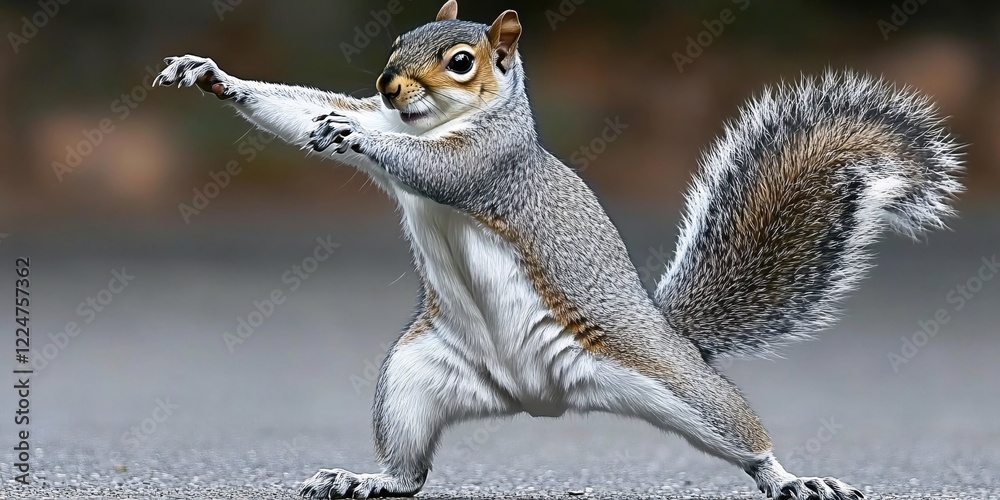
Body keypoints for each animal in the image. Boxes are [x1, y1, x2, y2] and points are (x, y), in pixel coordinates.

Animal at [154, 1, 963, 499]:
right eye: (394, 45)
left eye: (460, 61)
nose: (386, 85)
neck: (427, 124)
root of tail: (535, 396)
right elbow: (298, 111)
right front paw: (212, 76)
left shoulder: (489, 165)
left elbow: (434, 169)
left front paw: (352, 131)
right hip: (415, 376)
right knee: (410, 470)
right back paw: (371, 479)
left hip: (677, 382)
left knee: (741, 434)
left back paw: (792, 479)